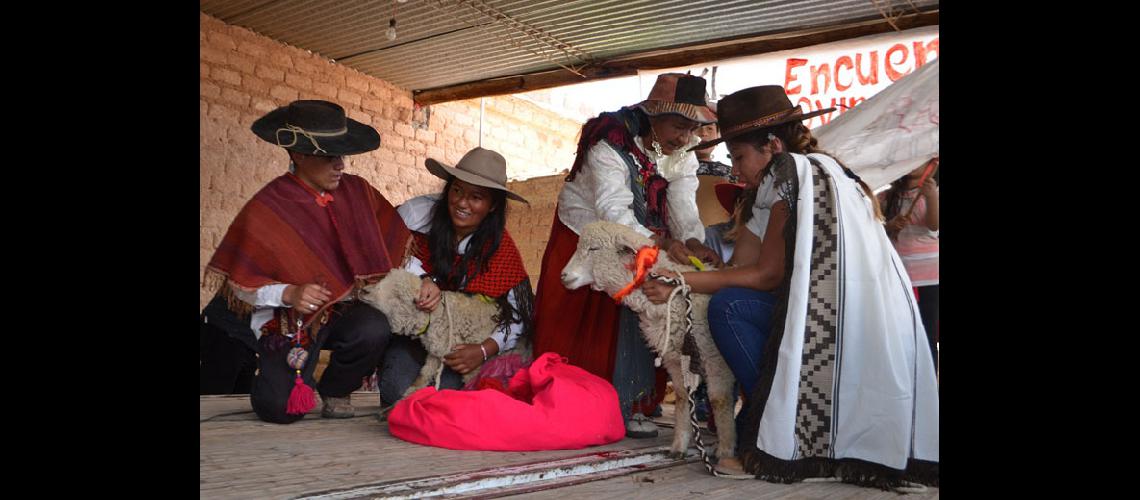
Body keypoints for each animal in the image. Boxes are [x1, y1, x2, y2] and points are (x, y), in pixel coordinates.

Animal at [355, 269, 499, 398]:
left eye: (399, 297)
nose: (364, 291)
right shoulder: (436, 351)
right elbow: (426, 371)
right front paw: (414, 389)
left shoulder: (473, 367)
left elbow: (471, 382)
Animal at [560, 220, 738, 464]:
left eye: (594, 249)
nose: (564, 276)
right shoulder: (676, 359)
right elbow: (683, 398)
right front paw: (679, 447)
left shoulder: (716, 358)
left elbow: (720, 400)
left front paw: (726, 450)